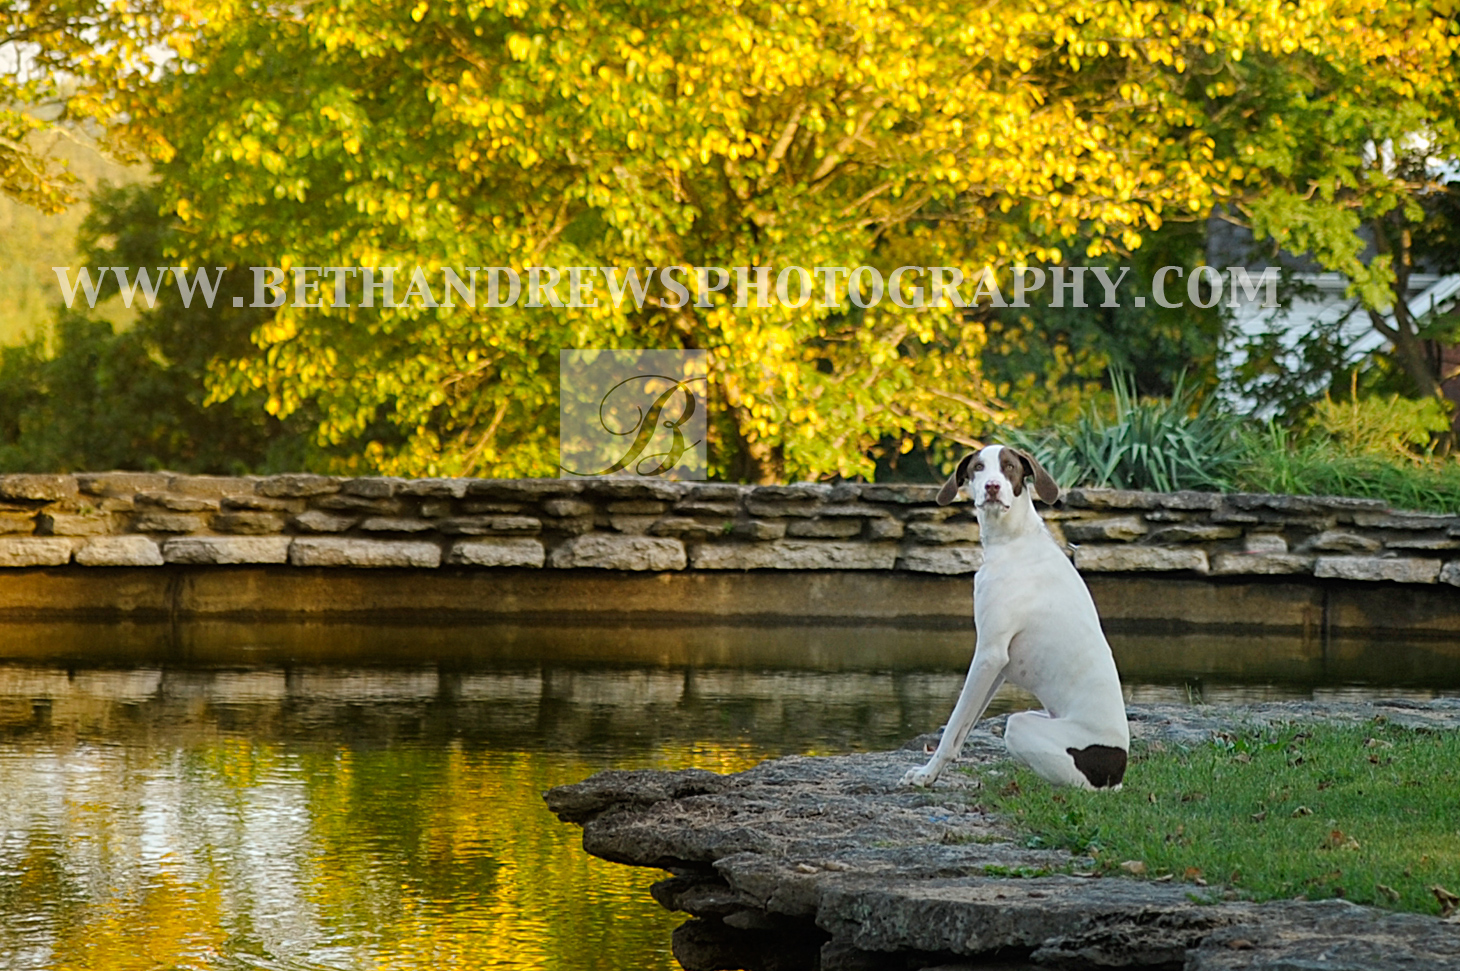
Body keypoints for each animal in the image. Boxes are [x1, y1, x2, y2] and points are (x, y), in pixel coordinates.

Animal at [899, 443, 1127, 788]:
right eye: (978, 467)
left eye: (1009, 467)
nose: (992, 487)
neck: (1015, 540)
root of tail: (1117, 772)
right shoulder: (997, 666)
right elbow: (962, 730)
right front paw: (933, 773)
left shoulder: (988, 654)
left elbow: (952, 726)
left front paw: (926, 775)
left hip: (1019, 725)